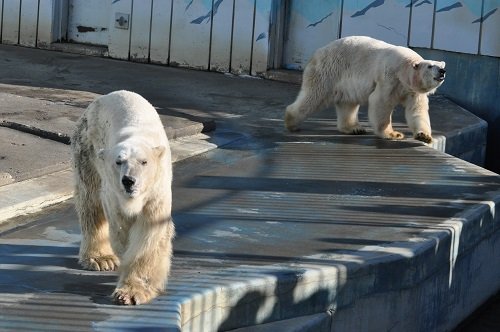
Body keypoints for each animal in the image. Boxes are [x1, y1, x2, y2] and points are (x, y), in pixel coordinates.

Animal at [71, 89, 175, 304]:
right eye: (119, 161)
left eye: (144, 162)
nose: (129, 181)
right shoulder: (114, 194)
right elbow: (121, 228)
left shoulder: (156, 192)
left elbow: (149, 233)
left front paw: (132, 292)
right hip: (87, 149)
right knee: (90, 201)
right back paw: (101, 259)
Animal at [286, 36, 446, 143]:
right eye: (430, 66)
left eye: (441, 65)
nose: (442, 71)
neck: (404, 70)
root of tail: (317, 53)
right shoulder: (389, 78)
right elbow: (380, 102)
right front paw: (393, 134)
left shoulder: (413, 91)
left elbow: (417, 110)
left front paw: (424, 136)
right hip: (328, 71)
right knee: (314, 96)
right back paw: (291, 122)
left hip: (344, 83)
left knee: (347, 104)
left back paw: (354, 128)